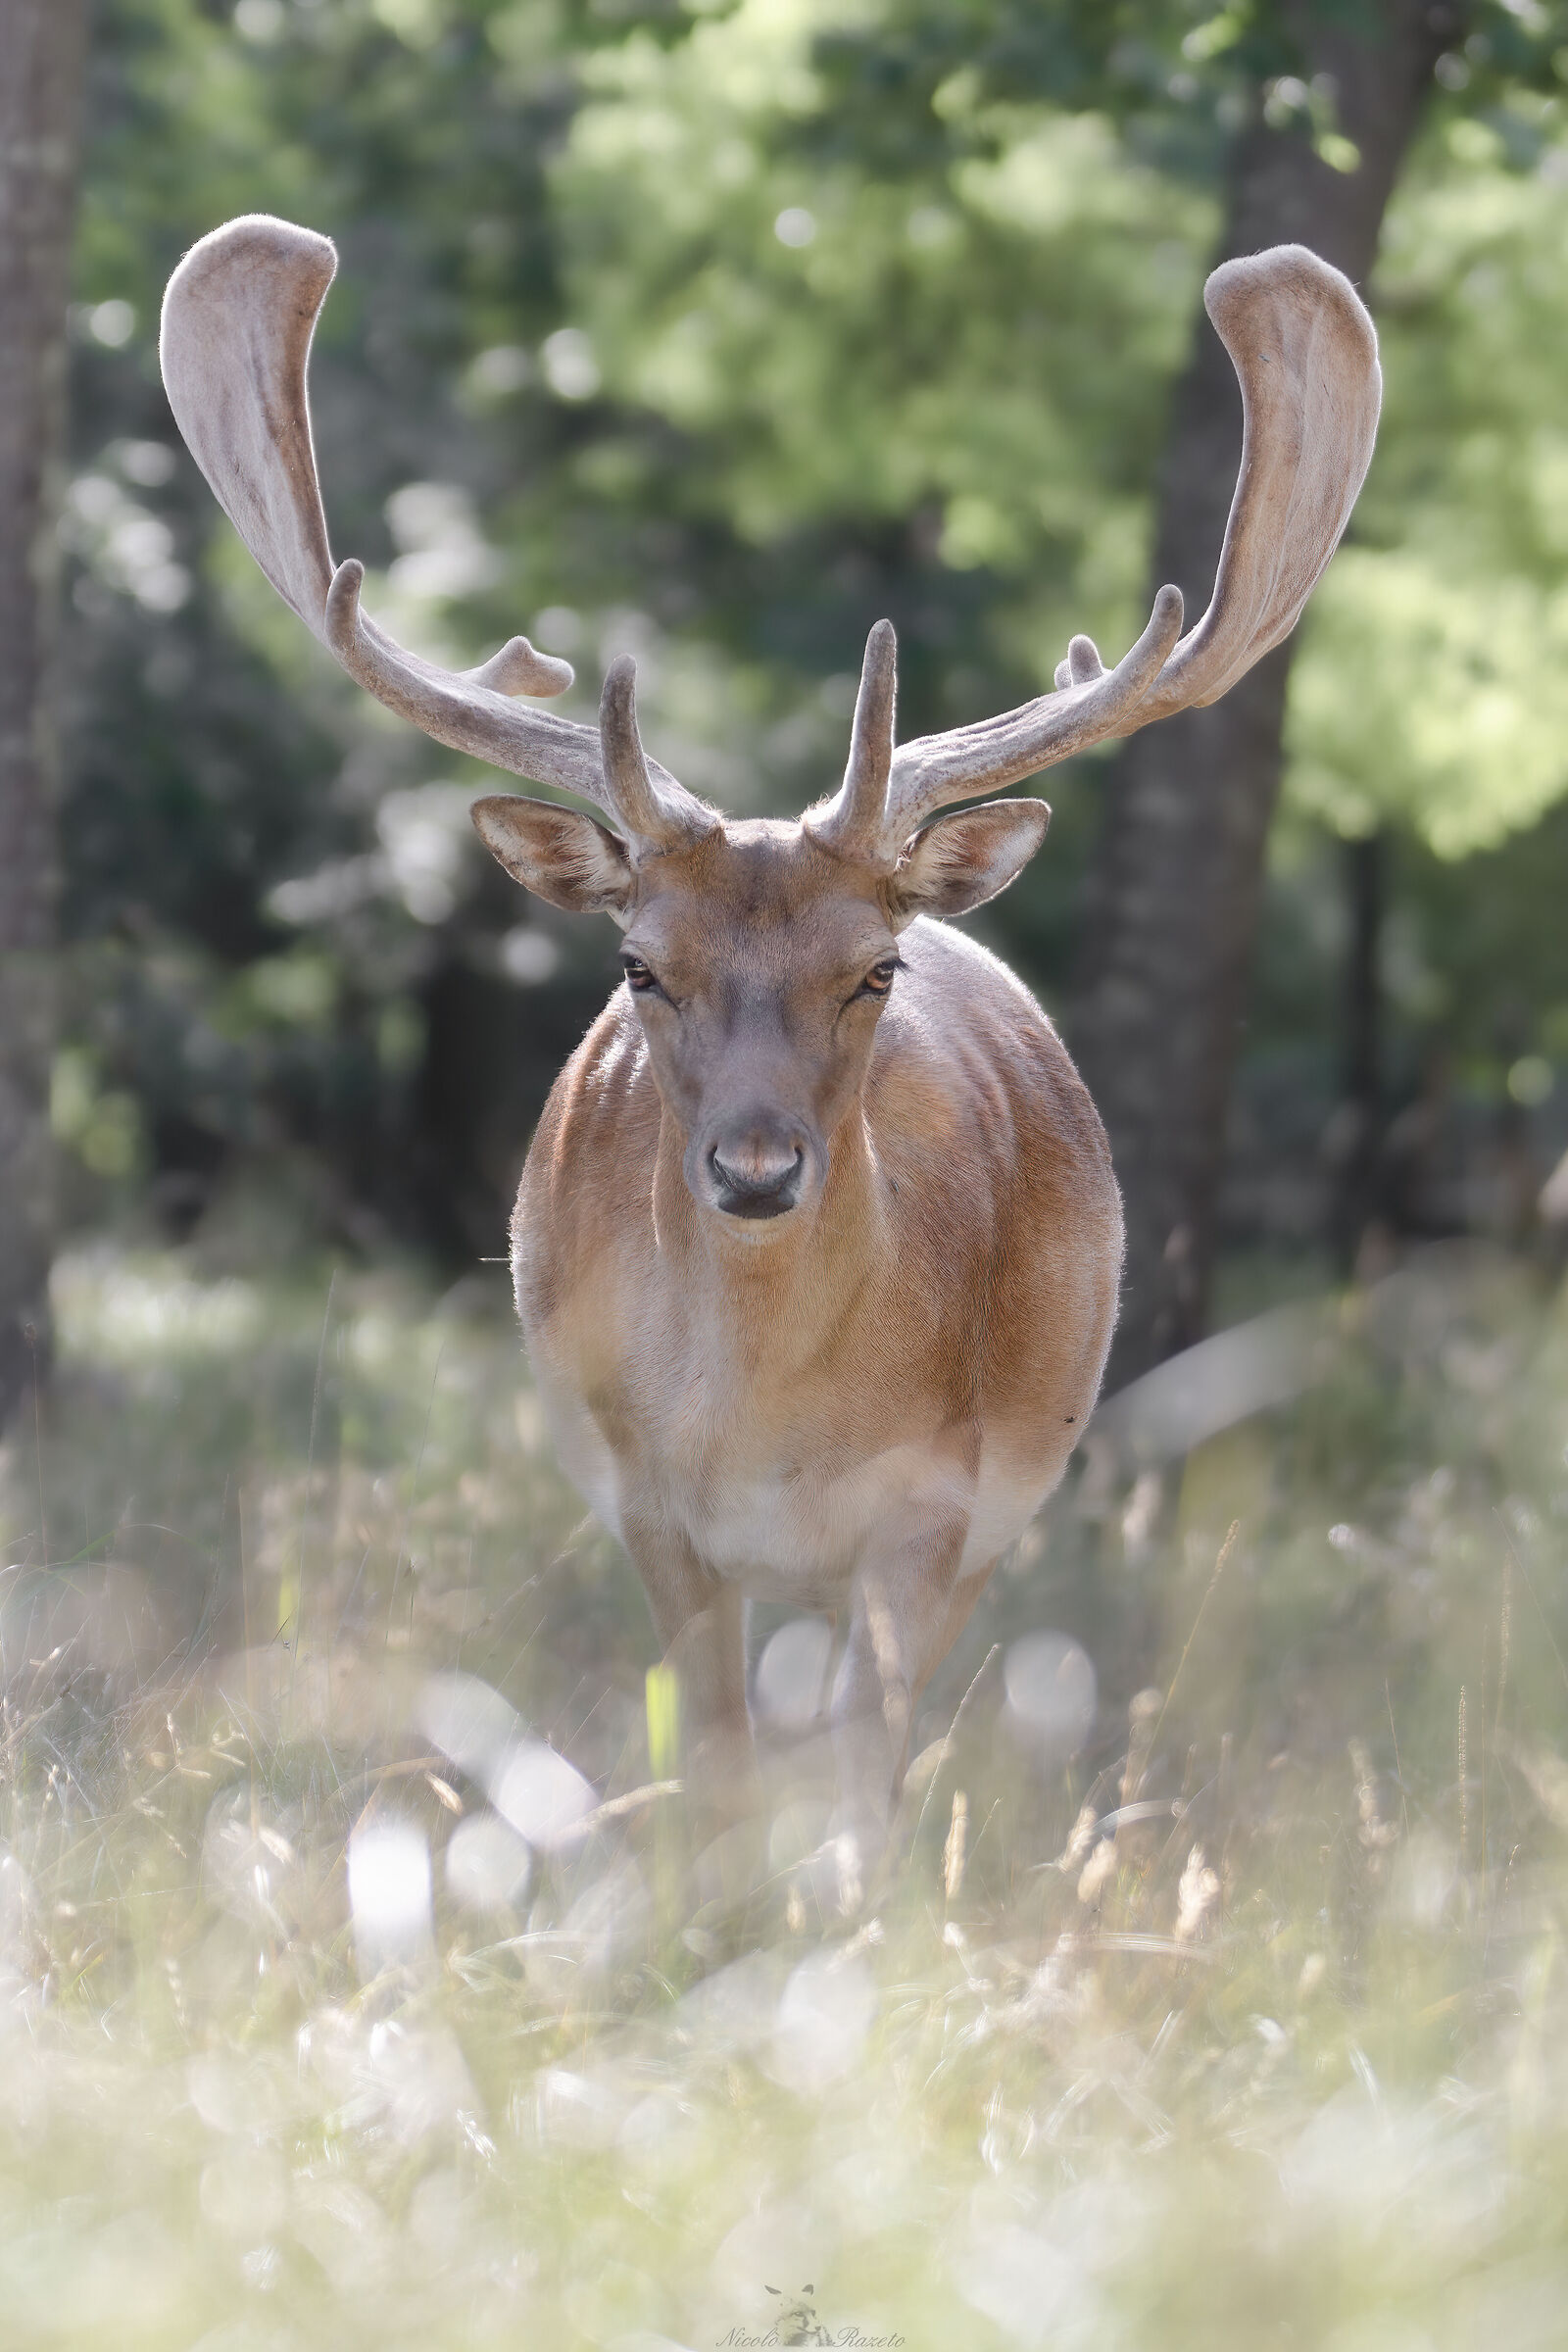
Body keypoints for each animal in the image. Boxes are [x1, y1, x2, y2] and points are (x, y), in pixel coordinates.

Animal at [160, 216, 1379, 1863]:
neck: (773, 1426)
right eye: (639, 966)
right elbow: (717, 1775)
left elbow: (861, 1788)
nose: (752, 1169)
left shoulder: (940, 1510)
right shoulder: (649, 1510)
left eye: (875, 969)